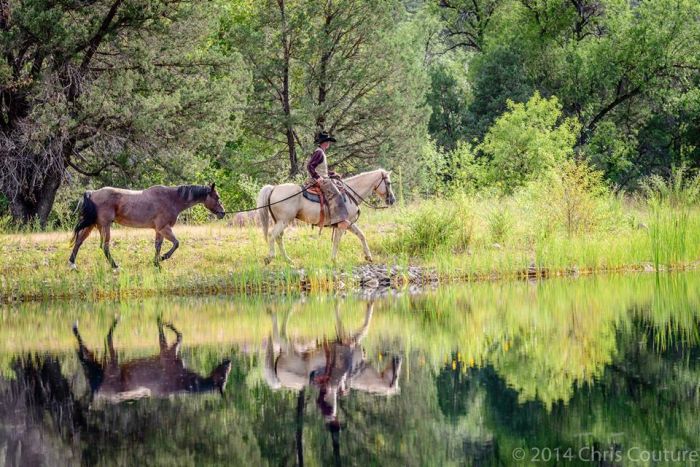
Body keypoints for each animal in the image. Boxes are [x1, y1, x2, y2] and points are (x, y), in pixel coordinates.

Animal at [67, 184, 223, 270]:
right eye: (217, 197)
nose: (223, 212)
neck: (171, 199)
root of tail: (92, 193)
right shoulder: (164, 228)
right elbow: (176, 243)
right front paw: (163, 258)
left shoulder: (159, 230)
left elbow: (158, 246)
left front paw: (157, 263)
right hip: (105, 226)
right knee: (104, 247)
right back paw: (115, 267)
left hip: (93, 225)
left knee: (79, 242)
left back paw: (73, 265)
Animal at [74, 320, 232, 404]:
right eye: (223, 377)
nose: (229, 362)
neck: (180, 381)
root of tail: (100, 391)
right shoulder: (167, 353)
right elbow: (169, 334)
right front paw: (164, 321)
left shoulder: (172, 352)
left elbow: (178, 335)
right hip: (112, 365)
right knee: (107, 339)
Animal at [254, 169, 394, 266]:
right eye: (388, 183)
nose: (392, 200)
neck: (350, 193)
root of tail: (273, 188)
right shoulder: (343, 224)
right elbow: (337, 241)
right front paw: (334, 260)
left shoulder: (348, 223)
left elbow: (361, 235)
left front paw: (368, 257)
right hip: (283, 221)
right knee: (272, 235)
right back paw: (270, 258)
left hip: (281, 222)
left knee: (278, 238)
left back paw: (288, 260)